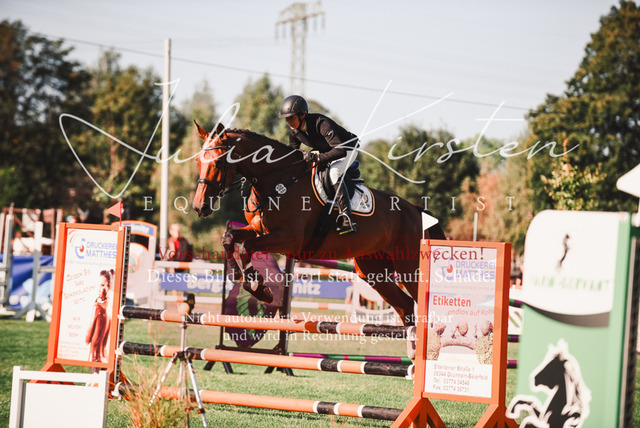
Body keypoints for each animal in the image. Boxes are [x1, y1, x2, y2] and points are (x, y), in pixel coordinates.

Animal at [191, 121, 445, 346]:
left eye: (219, 162)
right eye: (198, 161)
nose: (199, 207)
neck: (278, 181)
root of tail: (415, 210)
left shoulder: (289, 240)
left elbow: (248, 247)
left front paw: (260, 288)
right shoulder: (257, 230)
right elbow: (230, 238)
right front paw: (240, 275)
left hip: (409, 267)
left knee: (420, 303)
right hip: (373, 270)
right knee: (405, 306)